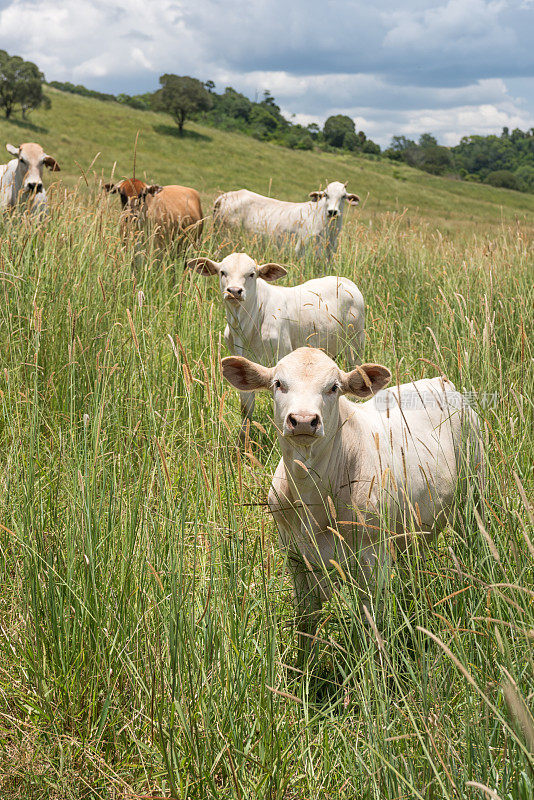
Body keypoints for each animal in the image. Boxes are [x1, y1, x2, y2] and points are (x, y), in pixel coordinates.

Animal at [189, 253, 368, 434]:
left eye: (252, 274)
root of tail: (346, 281)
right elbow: (246, 408)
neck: (246, 326)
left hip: (356, 344)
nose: (234, 291)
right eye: (222, 272)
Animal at [214, 182, 360, 255]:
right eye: (325, 195)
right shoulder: (302, 245)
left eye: (343, 196)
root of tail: (225, 196)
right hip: (227, 236)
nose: (332, 211)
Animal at [222, 350, 486, 656]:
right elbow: (306, 622)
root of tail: (440, 381)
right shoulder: (295, 556)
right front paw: (304, 666)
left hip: (474, 496)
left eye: (334, 387)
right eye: (278, 383)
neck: (313, 502)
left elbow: (372, 623)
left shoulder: (373, 558)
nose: (303, 420)